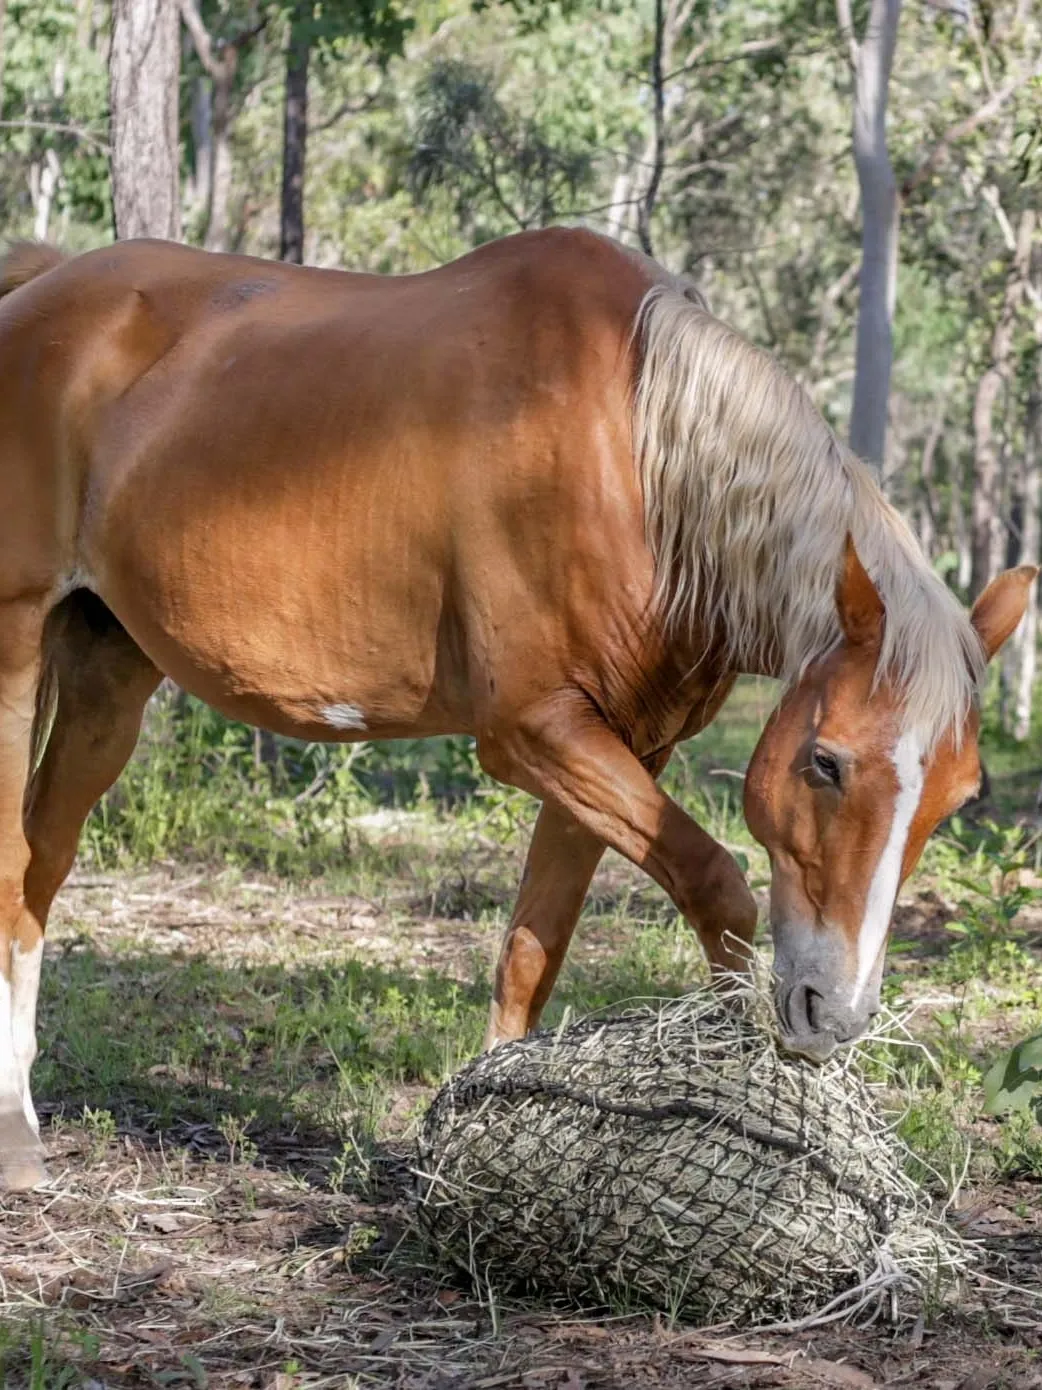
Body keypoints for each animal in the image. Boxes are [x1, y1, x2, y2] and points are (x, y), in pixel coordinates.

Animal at [0, 228, 1032, 1191]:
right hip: (14, 646)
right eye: (826, 762)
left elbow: (536, 945)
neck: (633, 451)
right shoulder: (535, 732)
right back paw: (15, 1132)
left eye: (955, 801)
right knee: (14, 860)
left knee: (44, 860)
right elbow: (717, 887)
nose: (837, 1013)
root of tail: (41, 285)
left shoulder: (622, 748)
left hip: (108, 671)